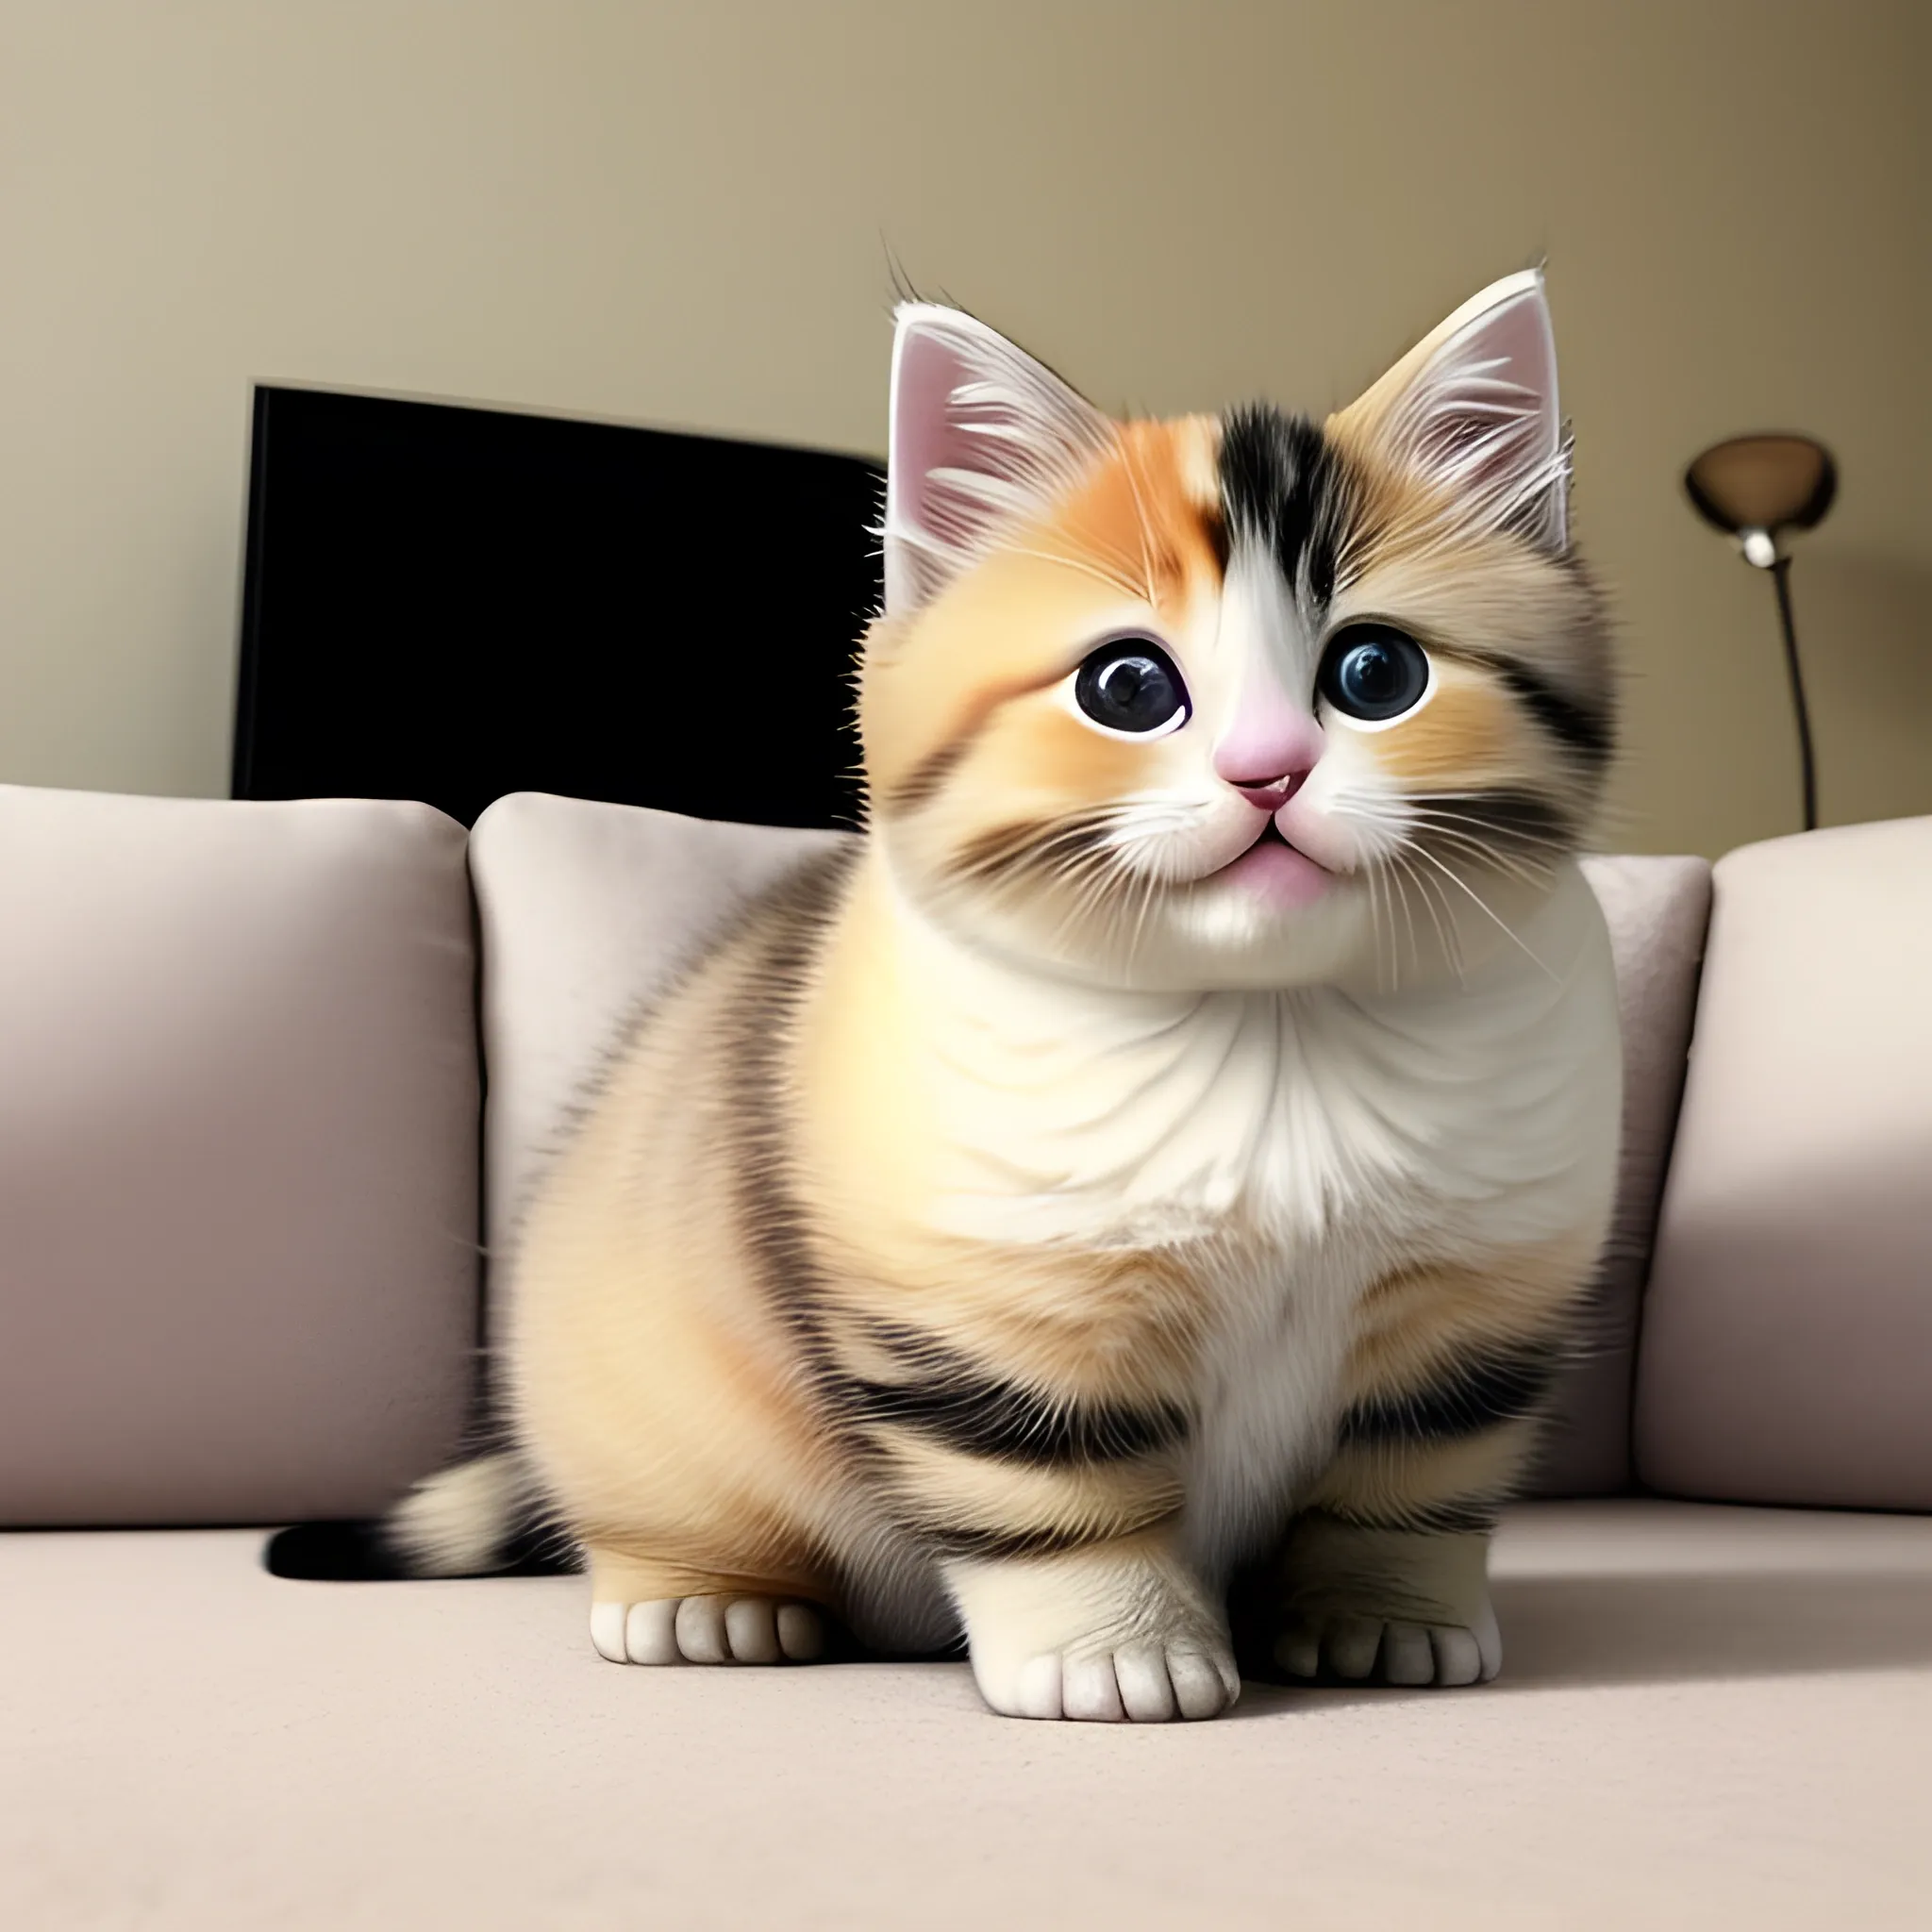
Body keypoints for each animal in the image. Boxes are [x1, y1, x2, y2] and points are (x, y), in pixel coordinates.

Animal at [376, 268, 1615, 1723]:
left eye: (1376, 676)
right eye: (1127, 687)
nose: (1266, 771)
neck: (1270, 1029)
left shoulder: (1472, 1324)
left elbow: (1407, 1483)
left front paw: (1385, 1621)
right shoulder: (973, 1315)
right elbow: (1050, 1486)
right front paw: (1114, 1653)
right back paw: (700, 1601)